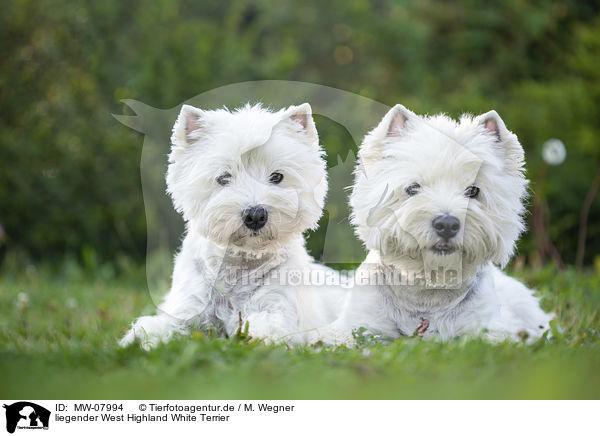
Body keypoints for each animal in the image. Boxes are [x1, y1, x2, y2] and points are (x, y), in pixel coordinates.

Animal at [121, 103, 344, 350]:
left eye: (277, 176)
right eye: (223, 177)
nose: (255, 215)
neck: (240, 265)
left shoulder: (278, 307)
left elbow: (268, 327)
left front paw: (255, 337)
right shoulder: (188, 308)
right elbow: (161, 326)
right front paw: (136, 339)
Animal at [324, 103, 552, 344]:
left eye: (473, 190)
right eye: (413, 188)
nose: (447, 225)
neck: (426, 295)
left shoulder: (489, 329)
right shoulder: (356, 326)